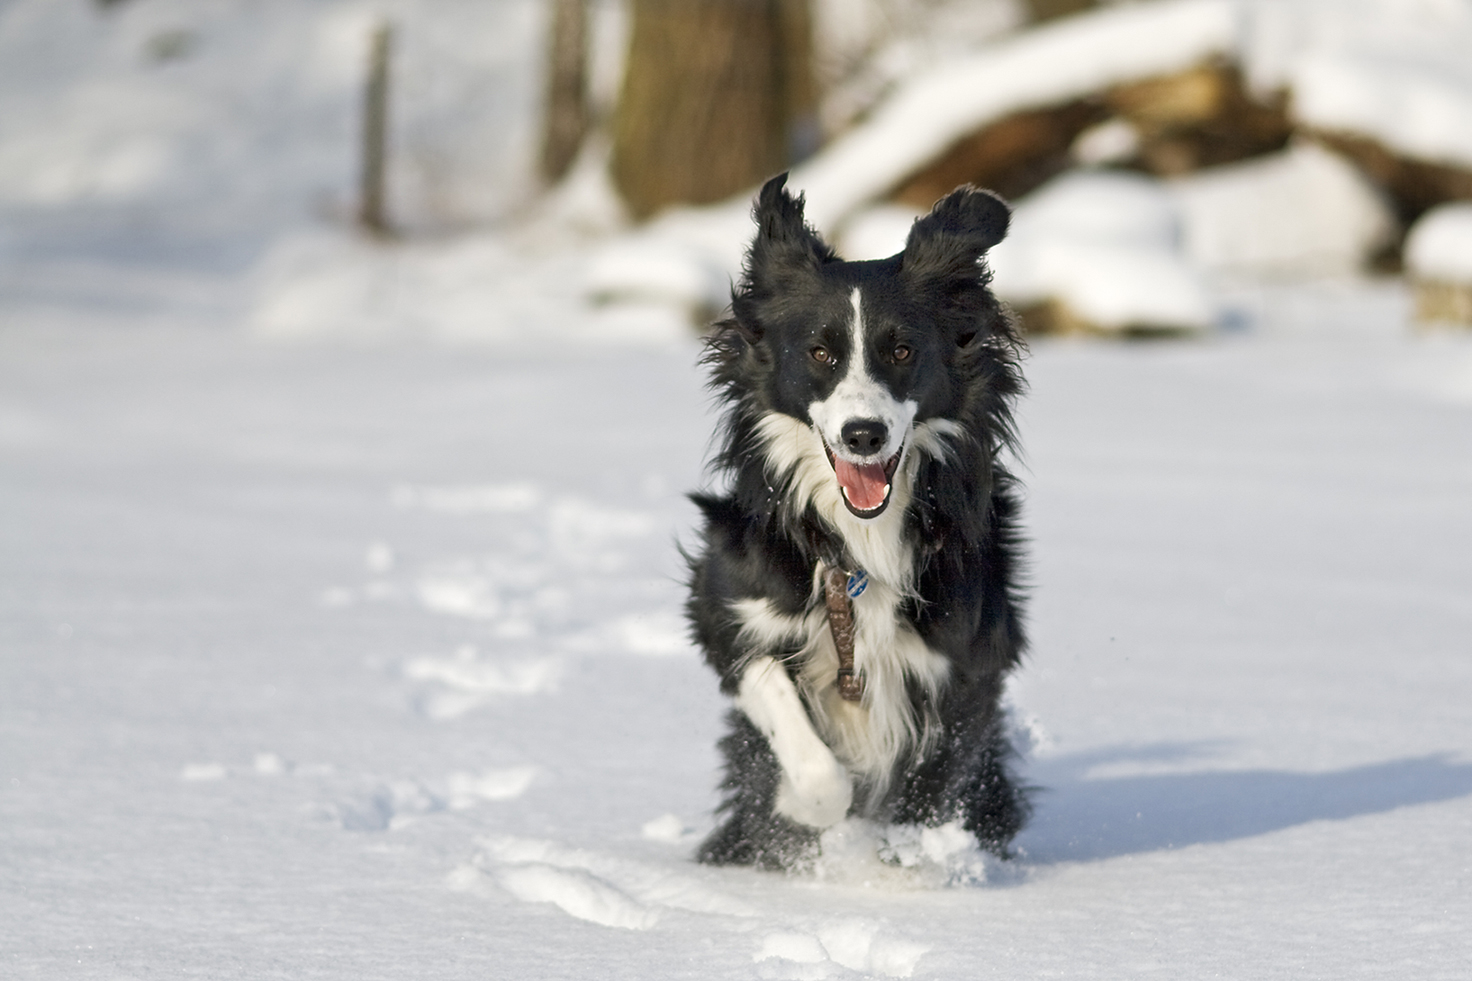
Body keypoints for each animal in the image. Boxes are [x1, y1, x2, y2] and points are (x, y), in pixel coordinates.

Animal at [688, 171, 1036, 866]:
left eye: (902, 350)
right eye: (819, 353)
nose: (863, 434)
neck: (862, 536)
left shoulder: (970, 659)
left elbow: (933, 788)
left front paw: (914, 861)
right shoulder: (726, 608)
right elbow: (802, 746)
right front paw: (805, 808)